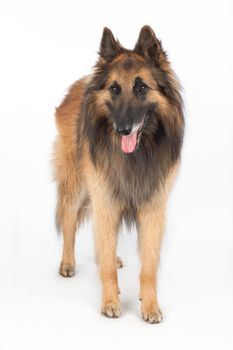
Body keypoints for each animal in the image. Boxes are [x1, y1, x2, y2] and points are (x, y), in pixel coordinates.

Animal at [53, 26, 185, 324]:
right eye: (114, 89)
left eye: (141, 87)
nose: (123, 129)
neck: (136, 156)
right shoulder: (105, 199)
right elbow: (105, 262)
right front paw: (111, 302)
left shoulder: (152, 208)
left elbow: (148, 266)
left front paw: (150, 305)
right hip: (76, 186)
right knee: (69, 223)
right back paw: (67, 263)